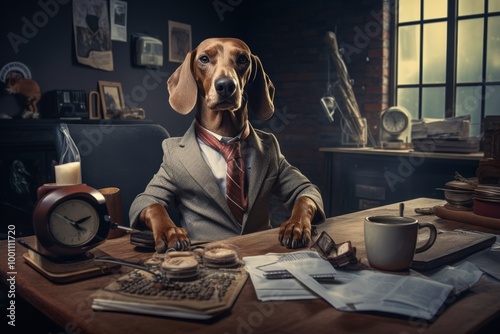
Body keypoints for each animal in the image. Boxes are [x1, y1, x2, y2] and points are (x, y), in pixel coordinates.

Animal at [129, 37, 324, 252]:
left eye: (242, 59)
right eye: (204, 59)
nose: (225, 85)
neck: (226, 137)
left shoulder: (288, 171)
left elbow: (304, 195)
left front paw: (295, 225)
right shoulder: (156, 187)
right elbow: (152, 203)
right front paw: (170, 231)